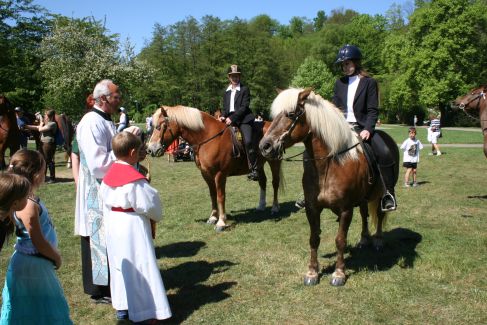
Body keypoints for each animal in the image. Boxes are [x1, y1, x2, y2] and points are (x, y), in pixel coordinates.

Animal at [146, 105, 282, 230]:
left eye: (160, 126)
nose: (150, 149)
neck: (207, 137)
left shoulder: (220, 174)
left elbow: (220, 196)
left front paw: (221, 222)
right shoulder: (206, 174)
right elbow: (212, 194)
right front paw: (213, 217)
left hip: (274, 161)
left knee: (275, 183)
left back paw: (275, 208)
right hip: (259, 164)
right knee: (262, 181)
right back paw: (261, 205)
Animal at [262, 87, 398, 284]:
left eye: (291, 114)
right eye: (275, 115)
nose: (264, 146)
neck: (329, 165)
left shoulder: (345, 209)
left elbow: (340, 240)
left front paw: (339, 273)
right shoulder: (312, 208)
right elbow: (314, 238)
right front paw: (312, 272)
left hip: (381, 193)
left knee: (379, 214)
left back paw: (378, 240)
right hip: (363, 197)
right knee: (364, 213)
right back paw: (364, 239)